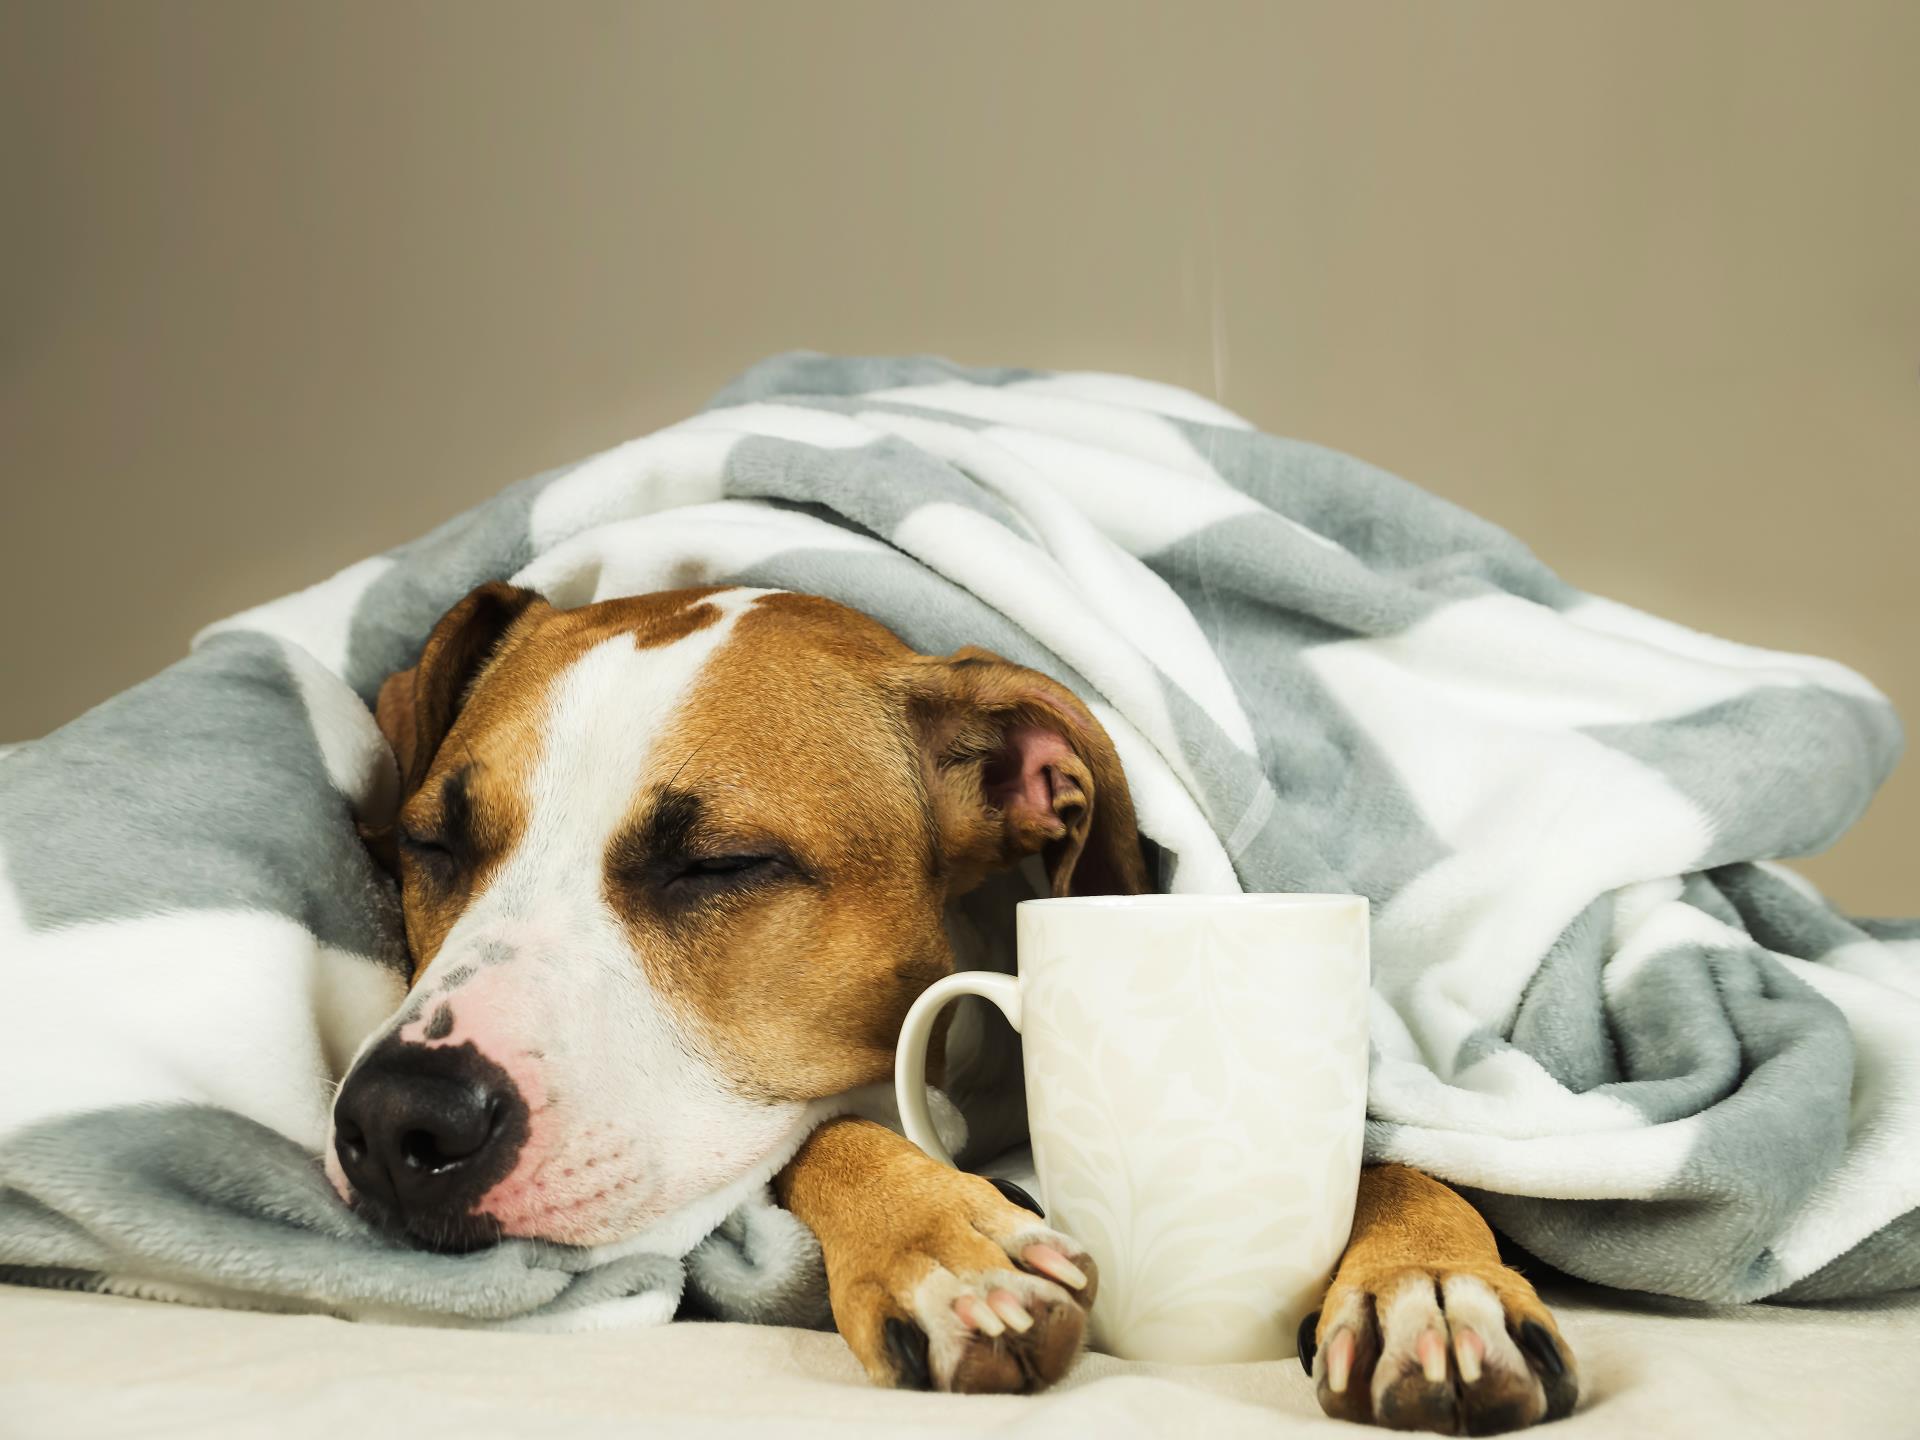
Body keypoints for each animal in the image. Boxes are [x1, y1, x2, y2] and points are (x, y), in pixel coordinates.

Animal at [330, 583, 1582, 1436]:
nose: (398, 1121)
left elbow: (1391, 1156)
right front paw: (942, 1243)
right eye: (431, 844)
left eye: (719, 866)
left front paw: (1432, 1281)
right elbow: (832, 1128)